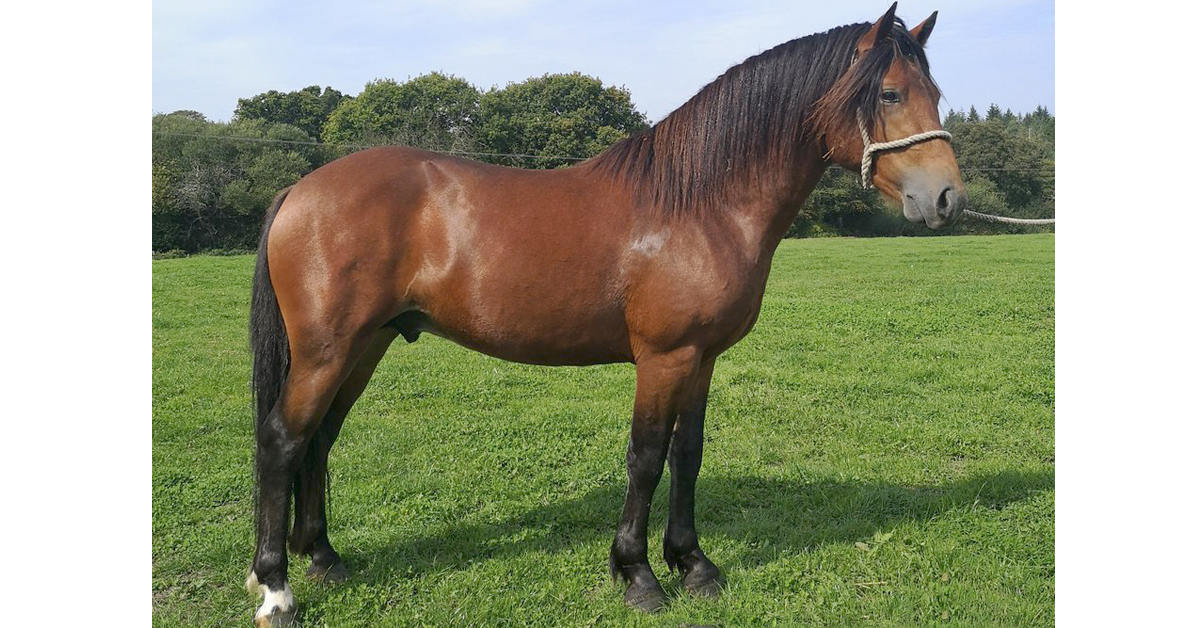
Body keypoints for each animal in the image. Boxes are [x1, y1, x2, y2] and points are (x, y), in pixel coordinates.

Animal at [243, 3, 964, 624]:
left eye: (936, 94)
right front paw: (639, 575)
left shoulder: (702, 358)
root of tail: (300, 189)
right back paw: (276, 589)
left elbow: (688, 453)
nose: (947, 198)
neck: (699, 202)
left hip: (365, 347)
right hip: (329, 350)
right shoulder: (664, 357)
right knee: (282, 440)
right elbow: (645, 457)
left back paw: (324, 558)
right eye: (890, 94)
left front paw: (694, 565)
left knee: (320, 439)